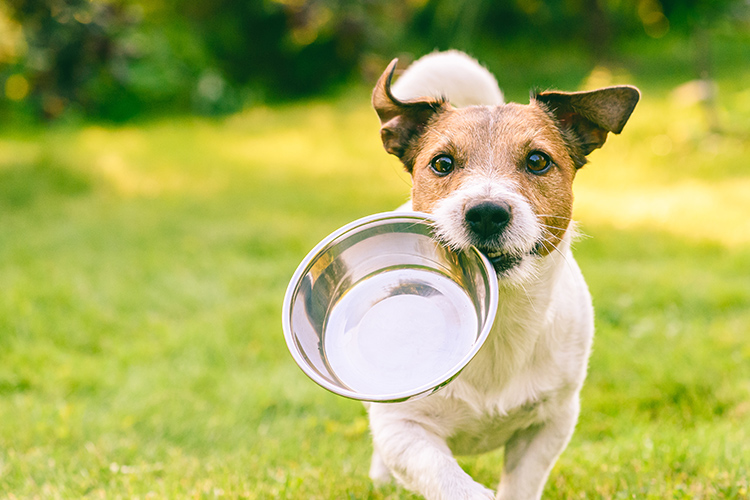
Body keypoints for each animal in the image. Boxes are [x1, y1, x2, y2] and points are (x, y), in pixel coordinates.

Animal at [368, 51, 644, 500]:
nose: (486, 213)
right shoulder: (403, 428)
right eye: (441, 163)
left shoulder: (551, 423)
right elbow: (443, 474)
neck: (498, 323)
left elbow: (522, 482)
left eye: (537, 160)